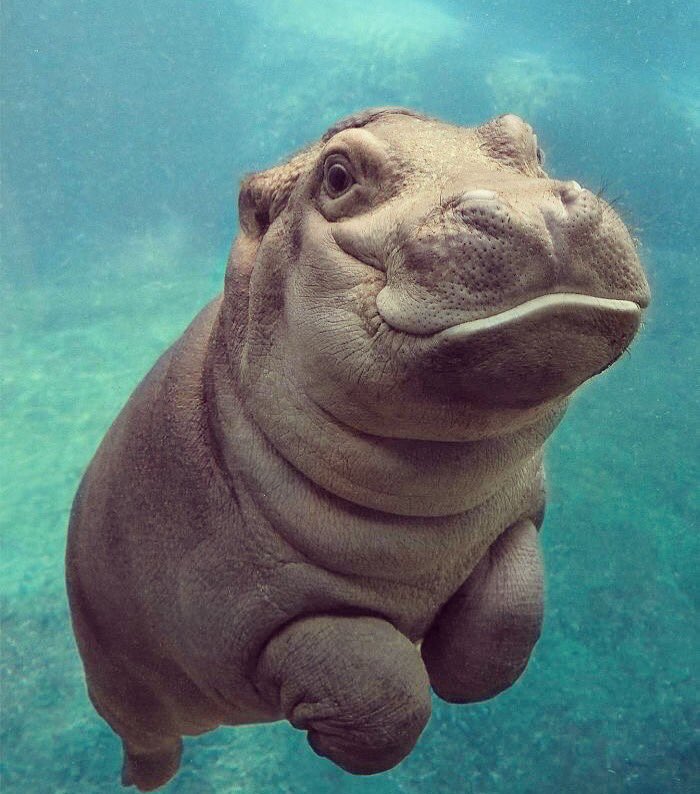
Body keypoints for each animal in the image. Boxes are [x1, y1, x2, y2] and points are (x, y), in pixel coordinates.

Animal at [66, 107, 650, 791]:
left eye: (528, 142)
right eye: (338, 175)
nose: (535, 208)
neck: (427, 501)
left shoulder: (515, 518)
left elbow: (509, 616)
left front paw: (455, 670)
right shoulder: (245, 610)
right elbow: (383, 693)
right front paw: (335, 735)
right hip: (120, 685)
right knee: (147, 736)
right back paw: (145, 778)